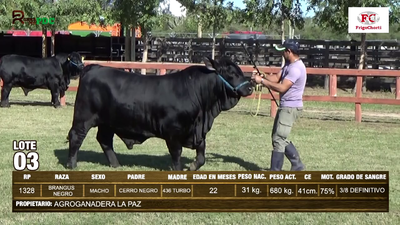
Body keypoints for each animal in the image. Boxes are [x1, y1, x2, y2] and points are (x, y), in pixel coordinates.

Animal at [65, 56, 253, 171]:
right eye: (231, 73)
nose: (250, 87)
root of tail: (93, 67)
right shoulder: (173, 132)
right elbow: (176, 155)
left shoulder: (198, 132)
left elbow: (201, 155)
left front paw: (193, 166)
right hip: (83, 117)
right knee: (76, 136)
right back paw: (72, 164)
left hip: (108, 122)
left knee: (104, 140)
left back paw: (116, 164)